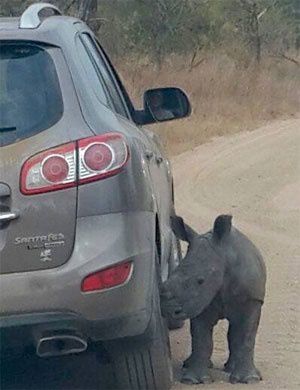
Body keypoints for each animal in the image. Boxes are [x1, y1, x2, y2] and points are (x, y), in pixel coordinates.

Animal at [161, 215, 266, 386]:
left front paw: (249, 380)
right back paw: (190, 365)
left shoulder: (252, 300)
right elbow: (201, 339)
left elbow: (246, 337)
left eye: (201, 281)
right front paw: (192, 380)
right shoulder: (200, 301)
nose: (169, 310)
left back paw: (230, 369)